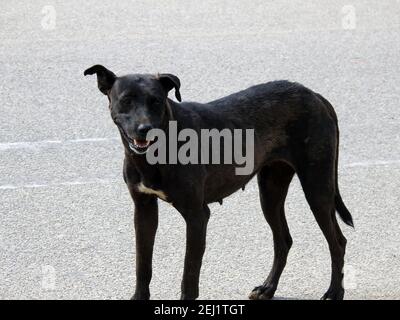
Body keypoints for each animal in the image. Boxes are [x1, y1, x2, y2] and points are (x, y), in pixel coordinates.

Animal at [84, 65, 354, 300]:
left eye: (156, 101)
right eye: (126, 100)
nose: (145, 129)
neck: (159, 149)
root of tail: (315, 95)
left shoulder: (197, 216)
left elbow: (189, 274)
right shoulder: (144, 210)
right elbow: (143, 264)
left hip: (317, 188)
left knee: (337, 242)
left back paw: (334, 292)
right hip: (270, 191)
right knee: (283, 240)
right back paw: (268, 288)